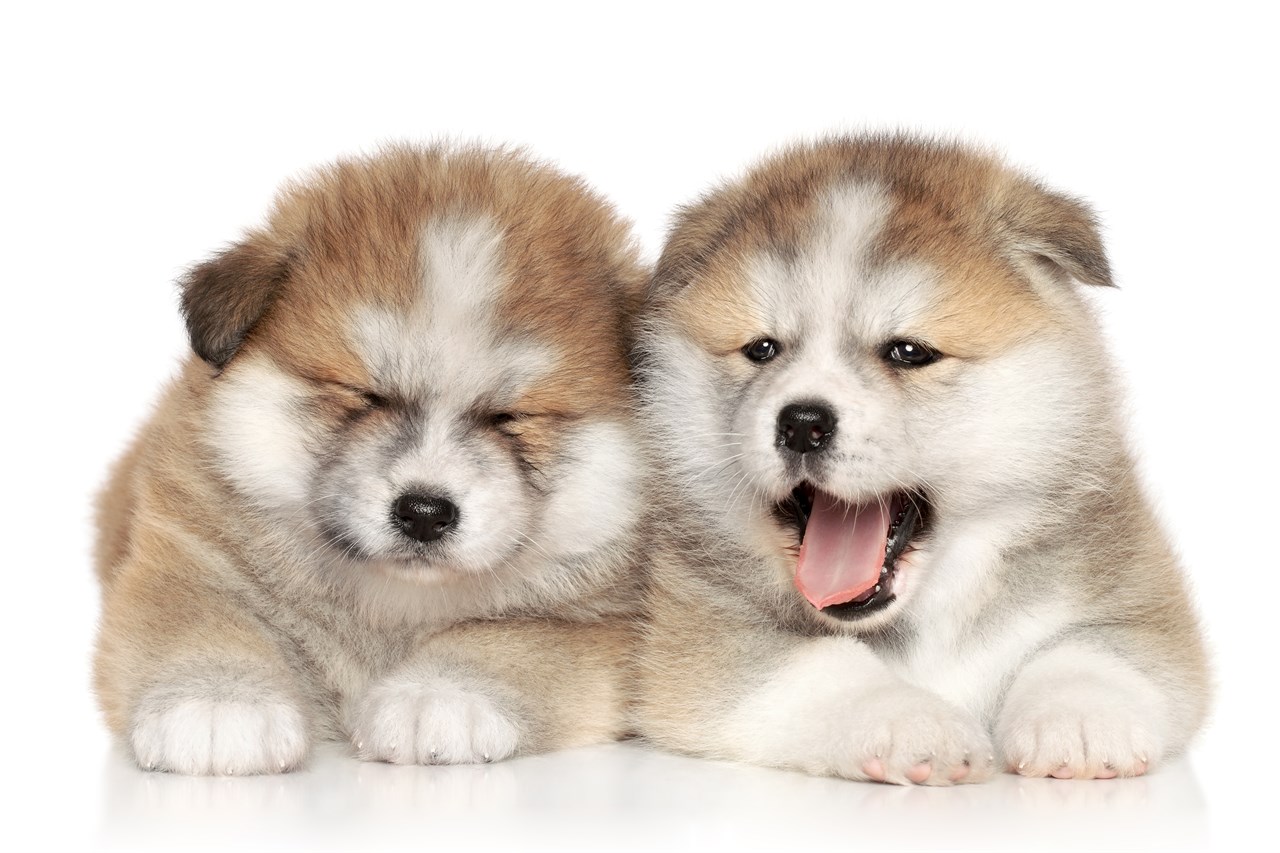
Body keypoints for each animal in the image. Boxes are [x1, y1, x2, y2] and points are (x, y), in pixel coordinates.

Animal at [97, 144, 650, 768]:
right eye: (365, 395)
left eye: (508, 417)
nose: (425, 513)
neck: (390, 607)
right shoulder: (186, 561)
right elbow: (203, 625)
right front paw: (218, 702)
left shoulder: (601, 624)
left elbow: (506, 640)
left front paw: (437, 697)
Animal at [637, 134, 1208, 783]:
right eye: (762, 349)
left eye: (907, 352)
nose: (803, 423)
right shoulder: (700, 637)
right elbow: (826, 666)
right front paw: (915, 723)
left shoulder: (1138, 601)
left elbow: (1090, 650)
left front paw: (1081, 720)